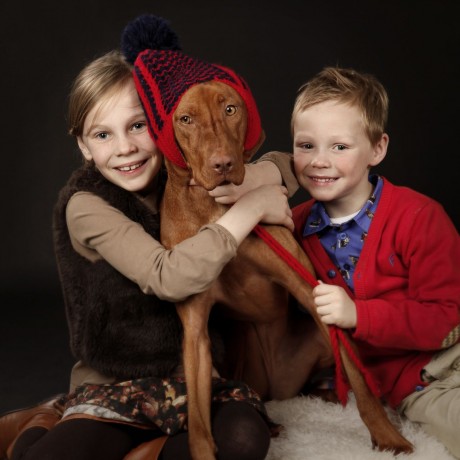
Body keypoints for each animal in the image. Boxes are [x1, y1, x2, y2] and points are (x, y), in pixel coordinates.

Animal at [160, 80, 413, 460]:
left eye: (230, 109)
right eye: (186, 119)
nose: (223, 164)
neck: (220, 214)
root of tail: (280, 390)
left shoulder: (310, 292)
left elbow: (358, 378)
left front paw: (388, 438)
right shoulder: (194, 329)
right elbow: (199, 422)